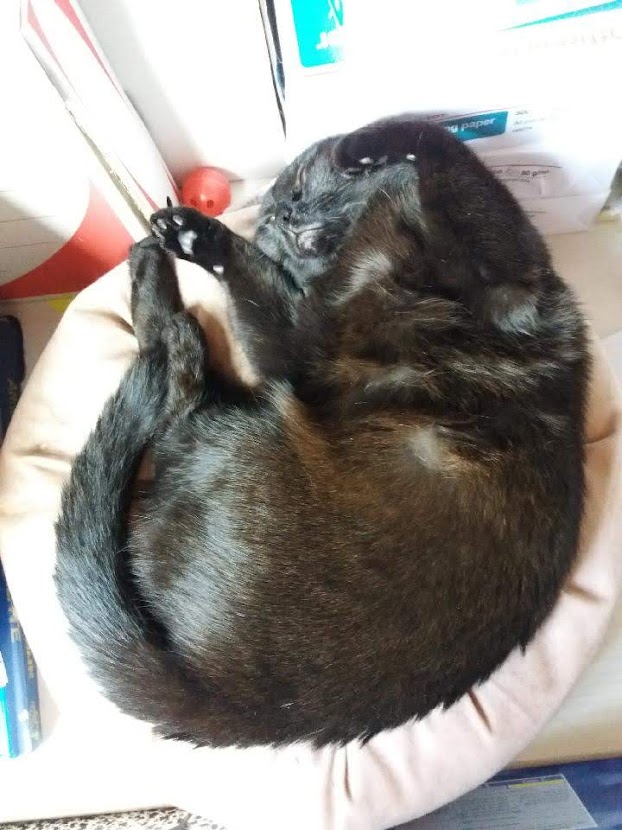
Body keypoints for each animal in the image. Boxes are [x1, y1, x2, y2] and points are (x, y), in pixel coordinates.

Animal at [55, 116, 589, 748]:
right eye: (282, 208)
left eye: (297, 187)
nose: (285, 215)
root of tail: (233, 705)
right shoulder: (303, 339)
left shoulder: (489, 259)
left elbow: (448, 159)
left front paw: (367, 151)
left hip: (241, 426)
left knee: (175, 377)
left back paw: (156, 283)